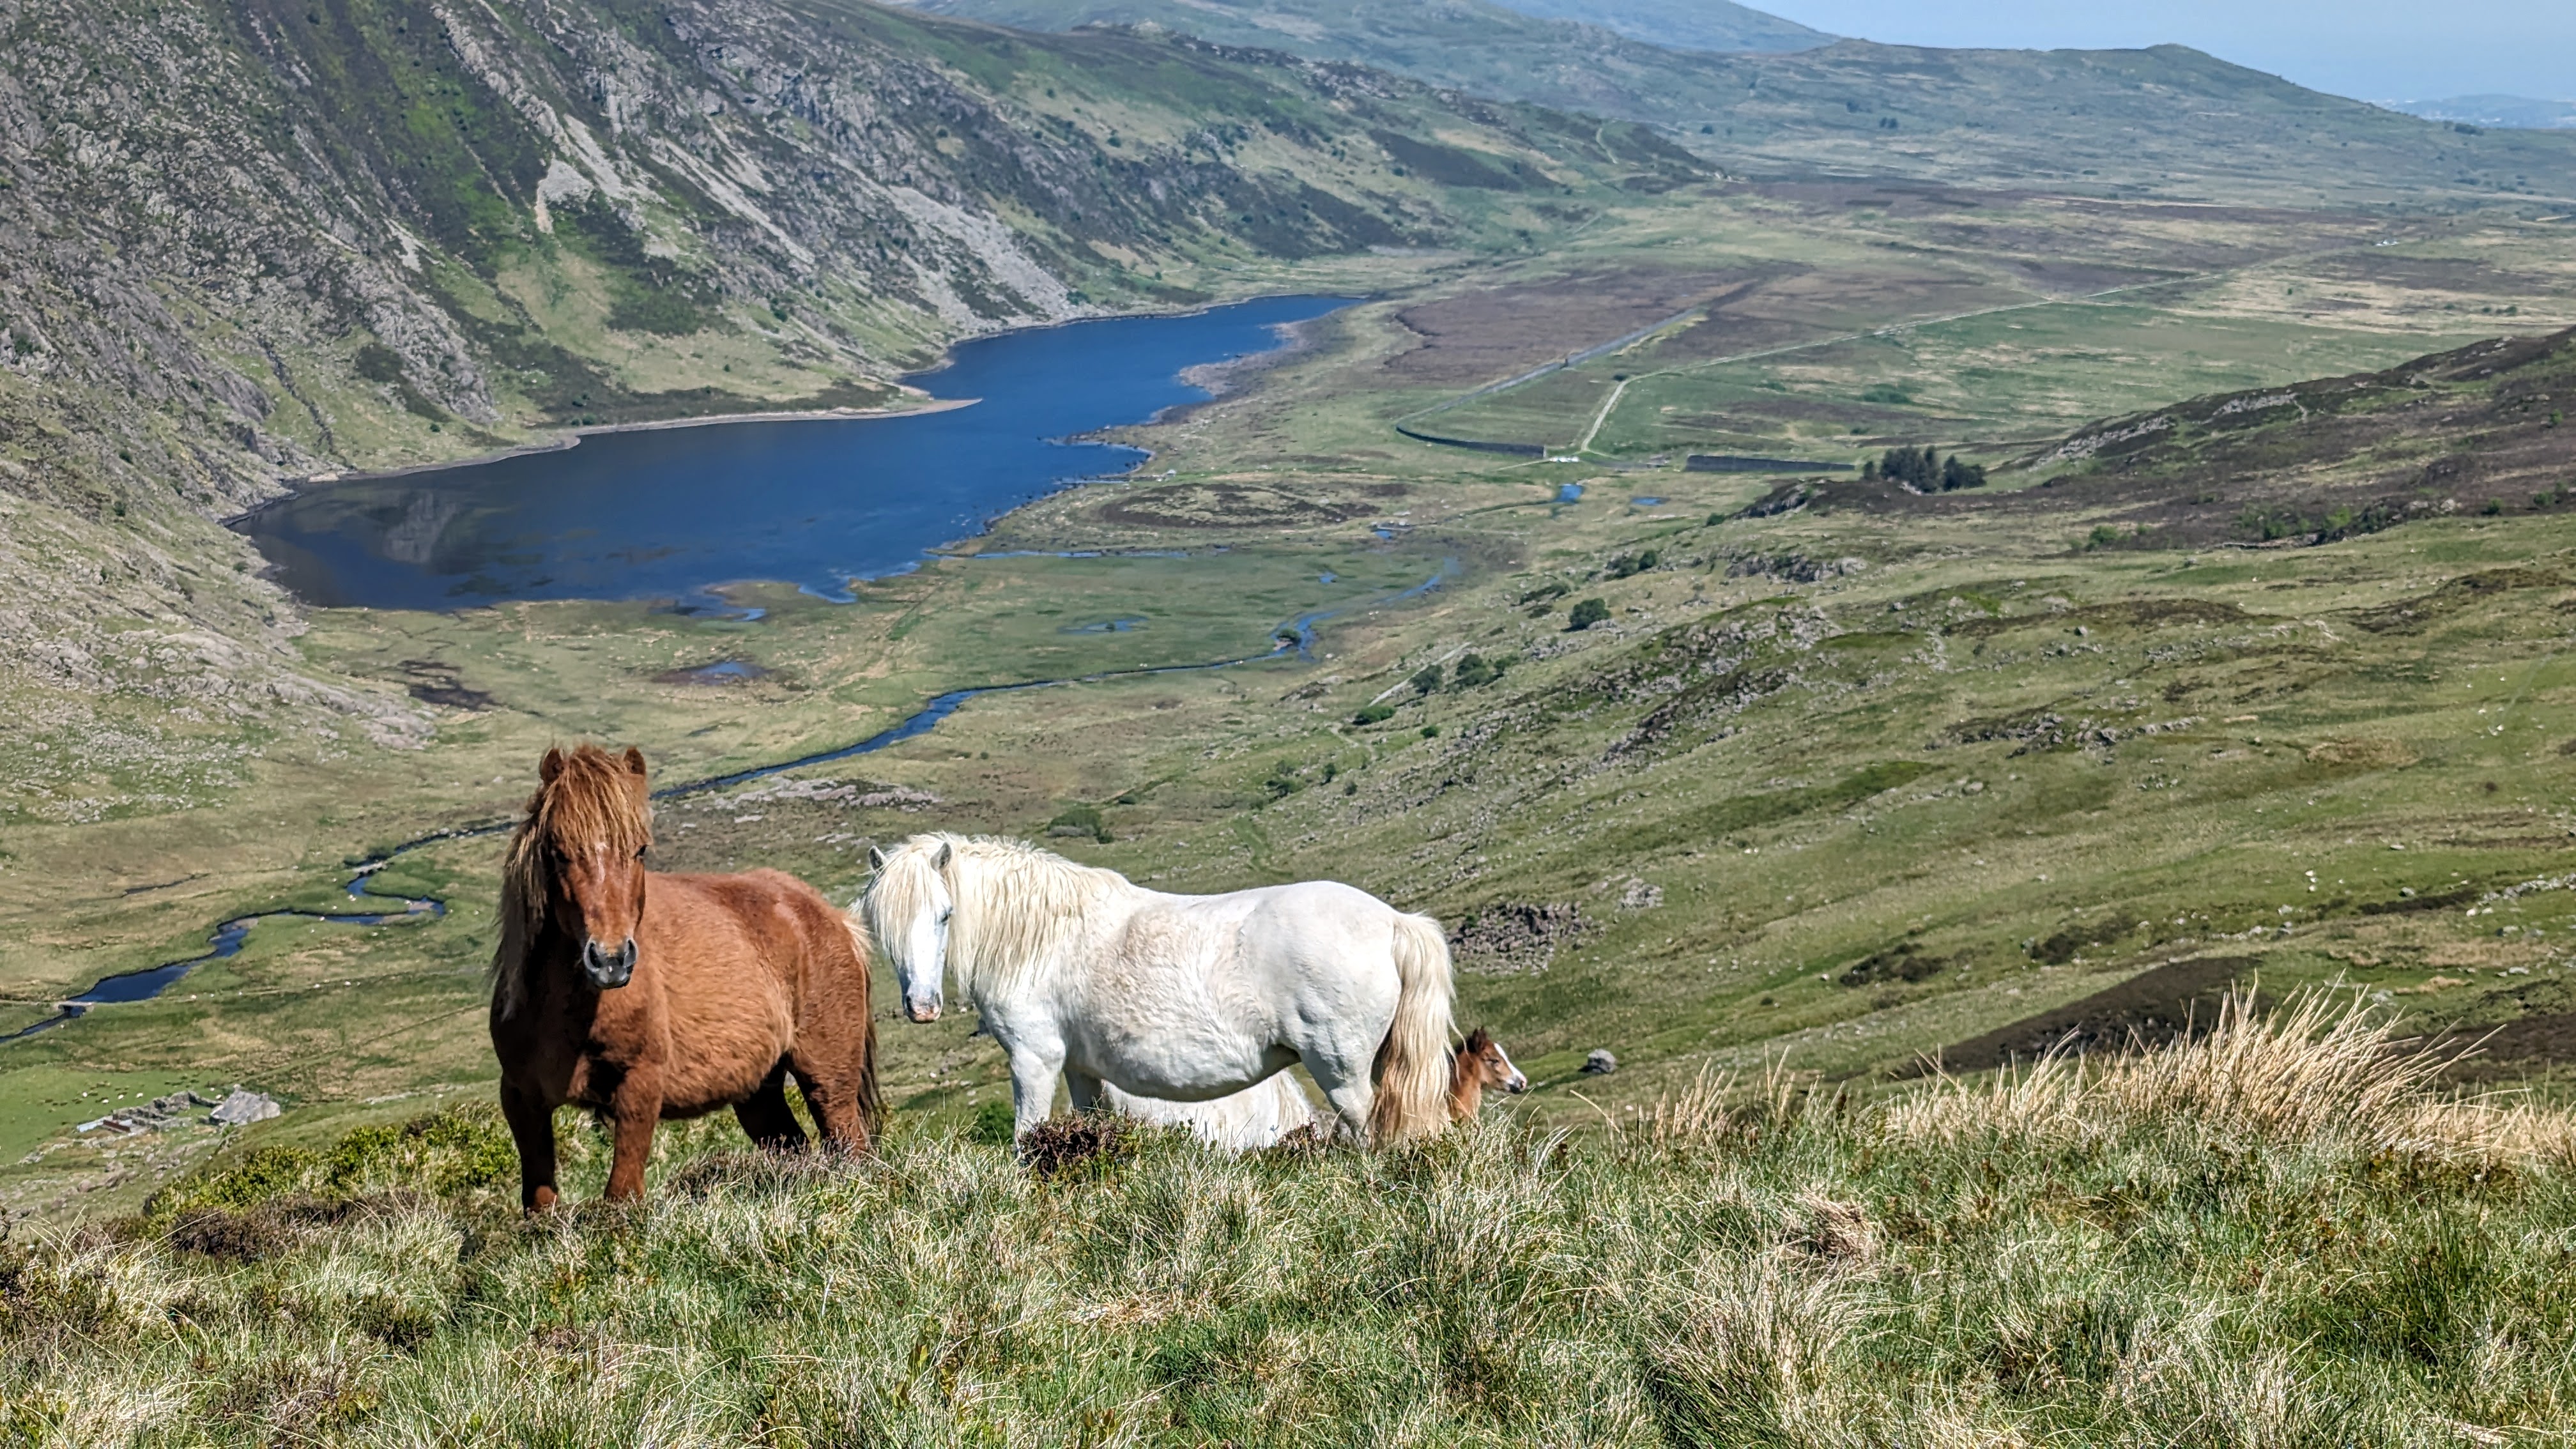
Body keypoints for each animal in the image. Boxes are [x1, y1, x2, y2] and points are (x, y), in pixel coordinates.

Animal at [488, 744, 881, 1208]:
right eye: (558, 851)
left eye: (639, 850)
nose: (610, 960)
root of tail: (832, 918)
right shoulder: (521, 1099)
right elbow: (540, 1202)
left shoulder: (640, 1088)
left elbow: (622, 1194)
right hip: (757, 1095)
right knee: (794, 1145)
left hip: (827, 1078)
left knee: (850, 1144)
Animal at [860, 833, 1455, 1144]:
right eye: (883, 929)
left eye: (944, 914)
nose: (922, 1008)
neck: (1042, 940)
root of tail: (1393, 923)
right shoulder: (1081, 1070)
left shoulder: (1034, 1060)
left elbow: (1026, 1139)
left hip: (1342, 1071)